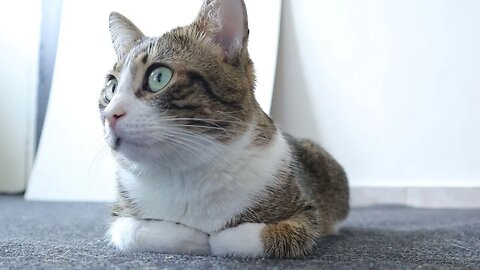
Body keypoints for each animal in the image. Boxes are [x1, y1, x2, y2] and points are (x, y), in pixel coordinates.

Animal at [100, 0, 348, 258]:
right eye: (112, 88)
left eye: (158, 77)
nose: (110, 115)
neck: (185, 171)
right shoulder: (121, 215)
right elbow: (132, 231)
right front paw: (193, 238)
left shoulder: (305, 211)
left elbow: (274, 233)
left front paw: (217, 240)